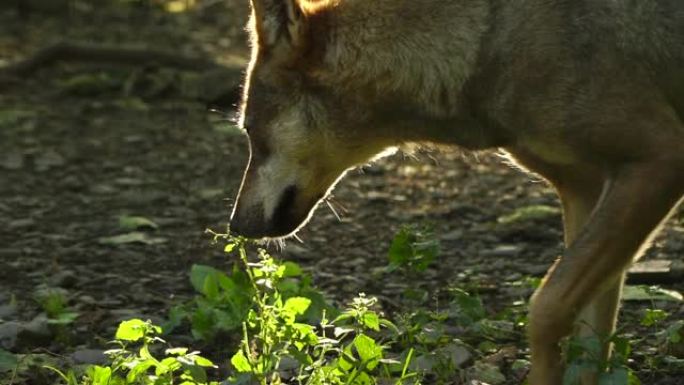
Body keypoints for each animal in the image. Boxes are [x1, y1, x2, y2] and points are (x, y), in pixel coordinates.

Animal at [230, 1, 684, 382]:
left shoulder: (659, 161)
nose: (235, 226)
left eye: (249, 131)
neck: (484, 44)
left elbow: (545, 309)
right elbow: (589, 345)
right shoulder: (583, 191)